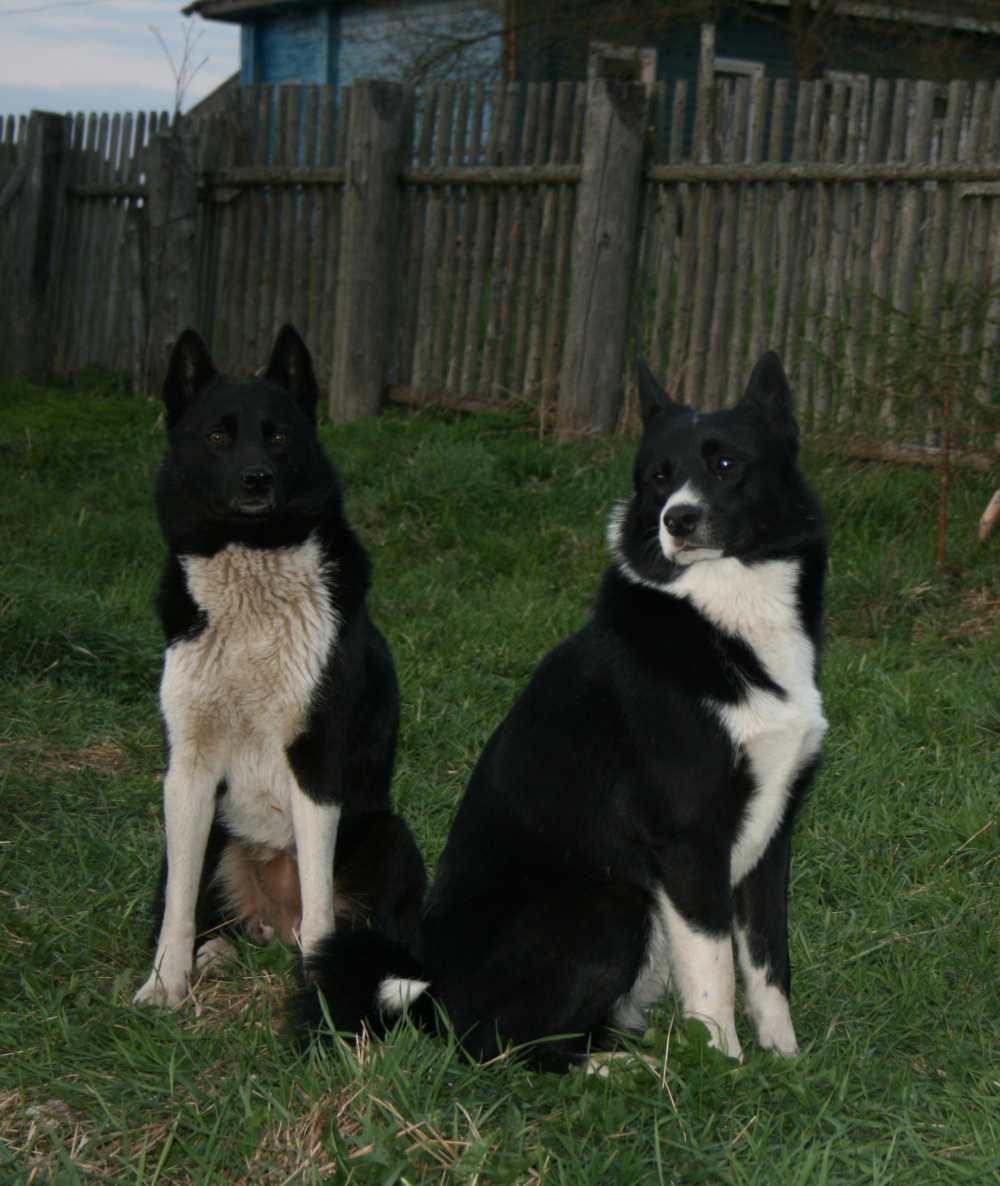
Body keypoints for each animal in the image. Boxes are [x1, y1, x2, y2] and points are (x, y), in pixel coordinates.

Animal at [134, 327, 424, 1010]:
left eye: (279, 436)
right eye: (217, 437)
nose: (255, 481)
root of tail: (274, 919)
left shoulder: (315, 763)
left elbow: (319, 905)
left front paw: (318, 997)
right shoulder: (187, 768)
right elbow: (178, 905)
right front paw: (164, 985)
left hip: (394, 838)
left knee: (341, 922)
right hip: (211, 831)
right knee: (205, 908)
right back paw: (212, 955)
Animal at [295, 348, 830, 1067]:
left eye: (725, 464)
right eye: (659, 477)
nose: (678, 520)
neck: (720, 615)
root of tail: (432, 992)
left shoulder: (772, 839)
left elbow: (770, 965)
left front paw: (786, 1064)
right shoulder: (691, 844)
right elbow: (715, 974)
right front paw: (724, 1071)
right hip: (612, 902)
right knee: (502, 1043)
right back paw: (623, 1070)